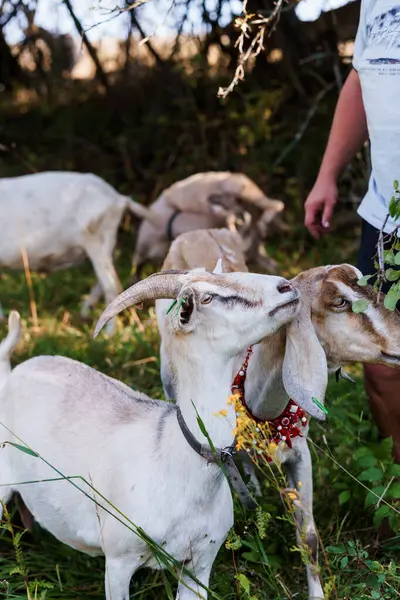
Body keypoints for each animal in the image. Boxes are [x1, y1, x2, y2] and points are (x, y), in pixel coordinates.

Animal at [0, 268, 300, 600]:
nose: (286, 287)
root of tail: (9, 374)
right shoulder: (119, 560)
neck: (172, 457)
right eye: (208, 298)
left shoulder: (201, 562)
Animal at [155, 229, 400, 600]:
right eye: (339, 302)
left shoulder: (299, 452)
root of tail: (195, 231)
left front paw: (317, 593)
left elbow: (308, 535)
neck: (260, 403)